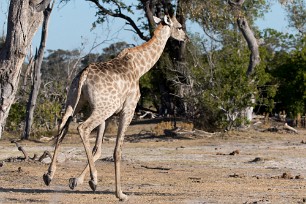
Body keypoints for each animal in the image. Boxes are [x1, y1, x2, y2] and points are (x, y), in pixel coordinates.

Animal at [43, 14, 186, 201]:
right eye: (179, 26)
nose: (185, 38)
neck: (139, 67)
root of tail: (84, 75)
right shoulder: (128, 110)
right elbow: (117, 150)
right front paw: (120, 193)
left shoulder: (110, 115)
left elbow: (97, 149)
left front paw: (76, 181)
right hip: (100, 108)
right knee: (82, 128)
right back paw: (95, 179)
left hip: (76, 103)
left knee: (63, 127)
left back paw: (49, 175)